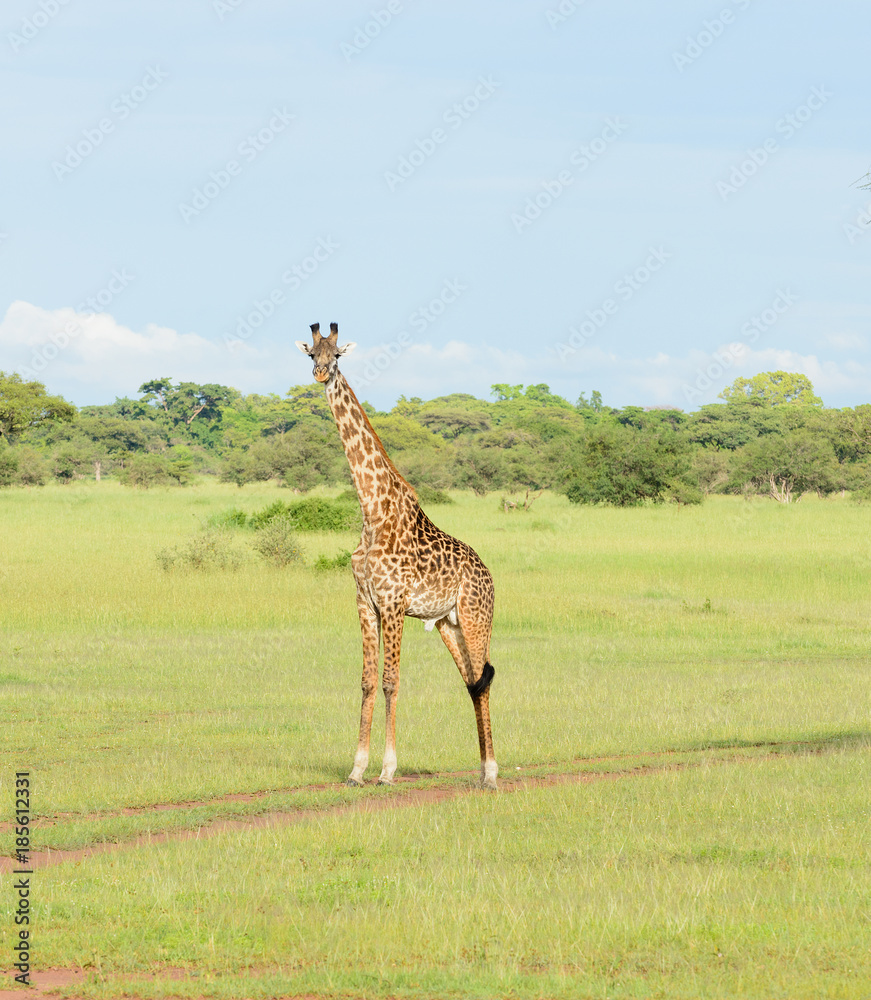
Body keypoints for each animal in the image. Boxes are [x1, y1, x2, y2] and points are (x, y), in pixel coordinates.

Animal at [295, 323, 498, 790]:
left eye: (338, 355)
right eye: (311, 352)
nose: (320, 373)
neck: (371, 508)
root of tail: (490, 577)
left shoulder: (393, 602)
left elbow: (391, 681)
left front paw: (387, 770)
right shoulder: (364, 602)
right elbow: (367, 681)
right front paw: (356, 769)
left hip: (476, 618)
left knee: (484, 679)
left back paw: (494, 773)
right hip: (448, 624)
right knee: (472, 681)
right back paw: (482, 770)